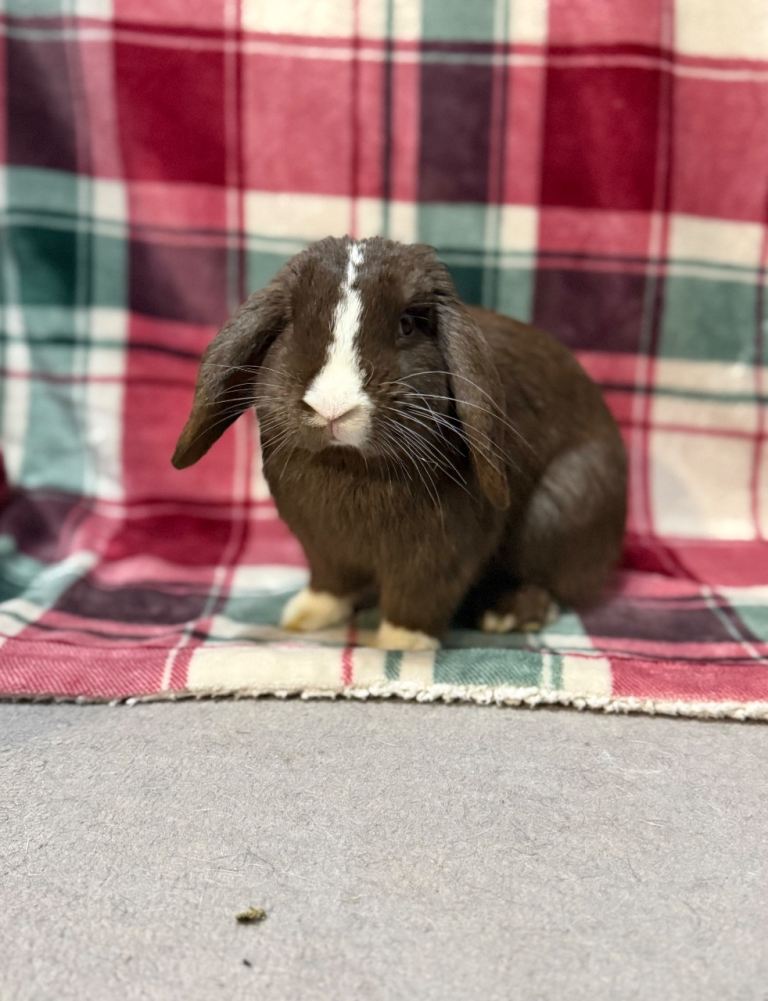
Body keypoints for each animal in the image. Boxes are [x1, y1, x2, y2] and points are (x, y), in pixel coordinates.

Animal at [172, 236, 627, 651]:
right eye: (293, 323)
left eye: (407, 324)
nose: (332, 406)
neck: (349, 465)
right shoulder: (322, 545)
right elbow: (330, 582)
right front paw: (305, 615)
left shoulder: (440, 551)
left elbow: (420, 595)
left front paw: (401, 642)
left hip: (564, 505)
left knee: (555, 583)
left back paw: (506, 613)